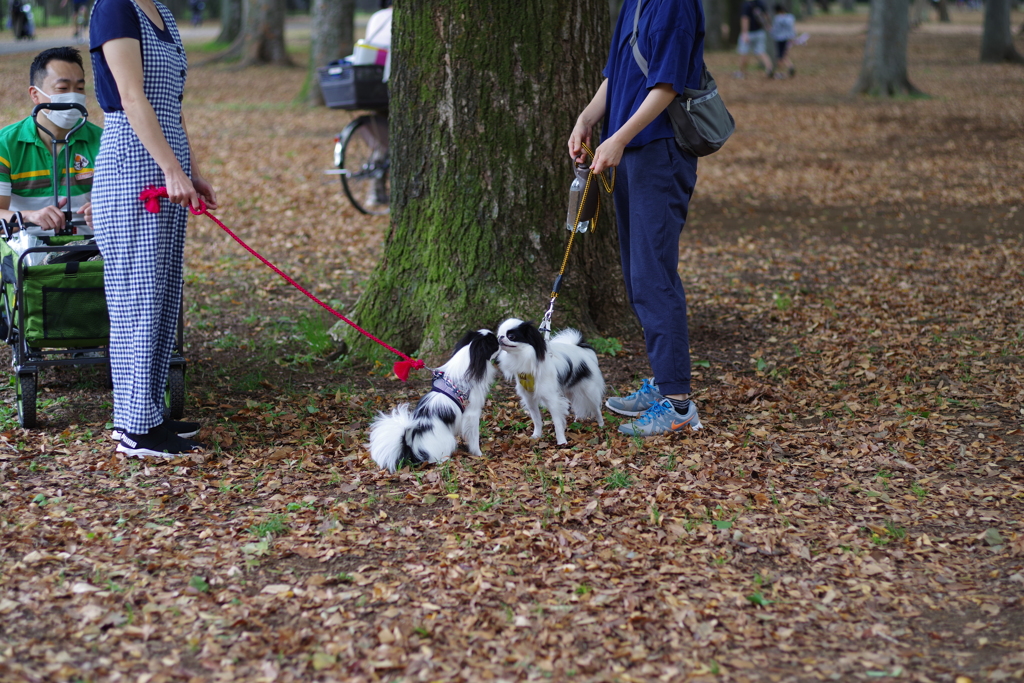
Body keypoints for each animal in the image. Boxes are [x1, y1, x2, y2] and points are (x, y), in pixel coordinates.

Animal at [368, 329, 499, 471]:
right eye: (494, 343)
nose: (500, 339)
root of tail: (412, 451)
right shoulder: (472, 414)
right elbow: (474, 437)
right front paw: (479, 454)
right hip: (449, 441)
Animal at [493, 317, 602, 446]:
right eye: (499, 334)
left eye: (511, 336)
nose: (500, 337)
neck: (523, 357)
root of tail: (580, 348)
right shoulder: (529, 398)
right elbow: (537, 419)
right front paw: (536, 435)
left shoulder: (552, 399)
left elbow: (557, 422)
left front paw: (561, 441)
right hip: (571, 391)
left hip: (589, 391)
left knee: (596, 407)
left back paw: (601, 425)